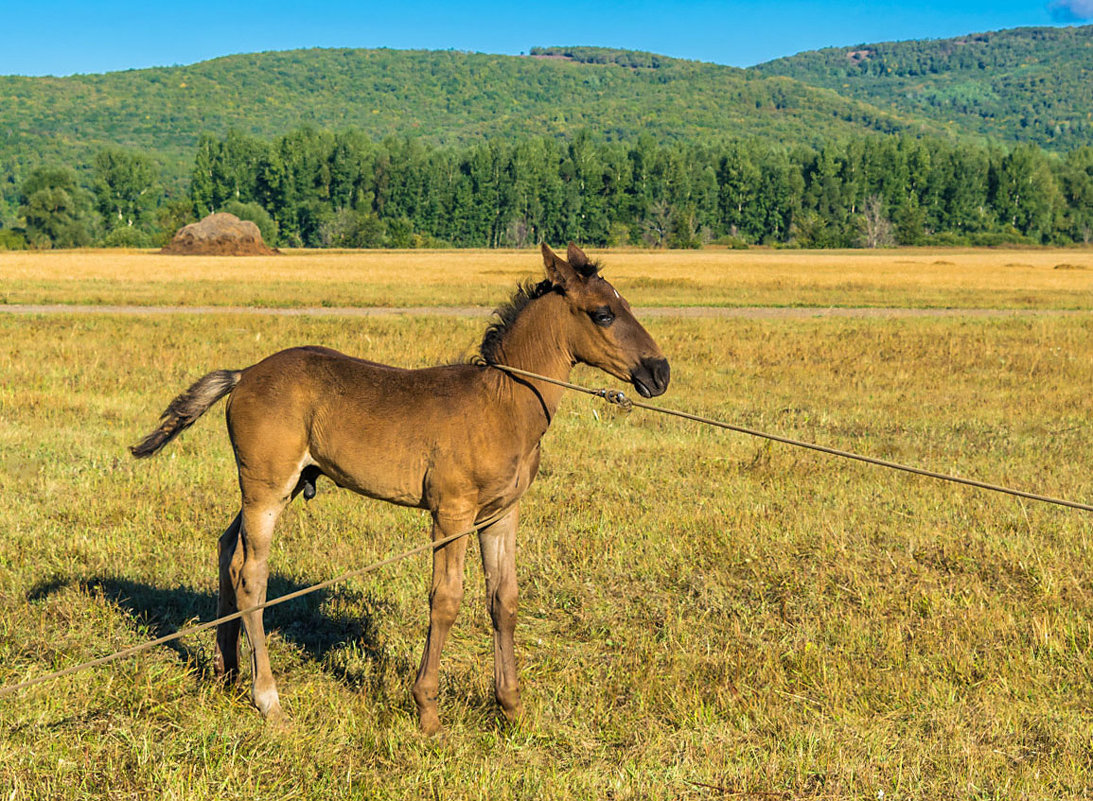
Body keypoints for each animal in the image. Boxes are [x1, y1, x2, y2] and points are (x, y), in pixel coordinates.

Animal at [132, 242, 668, 729]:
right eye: (603, 313)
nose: (658, 372)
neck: (503, 403)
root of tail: (243, 375)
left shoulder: (502, 514)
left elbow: (504, 600)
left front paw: (511, 707)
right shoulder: (451, 512)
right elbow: (446, 599)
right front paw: (428, 710)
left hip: (275, 485)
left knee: (227, 548)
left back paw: (227, 672)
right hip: (267, 488)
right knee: (251, 576)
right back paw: (268, 699)